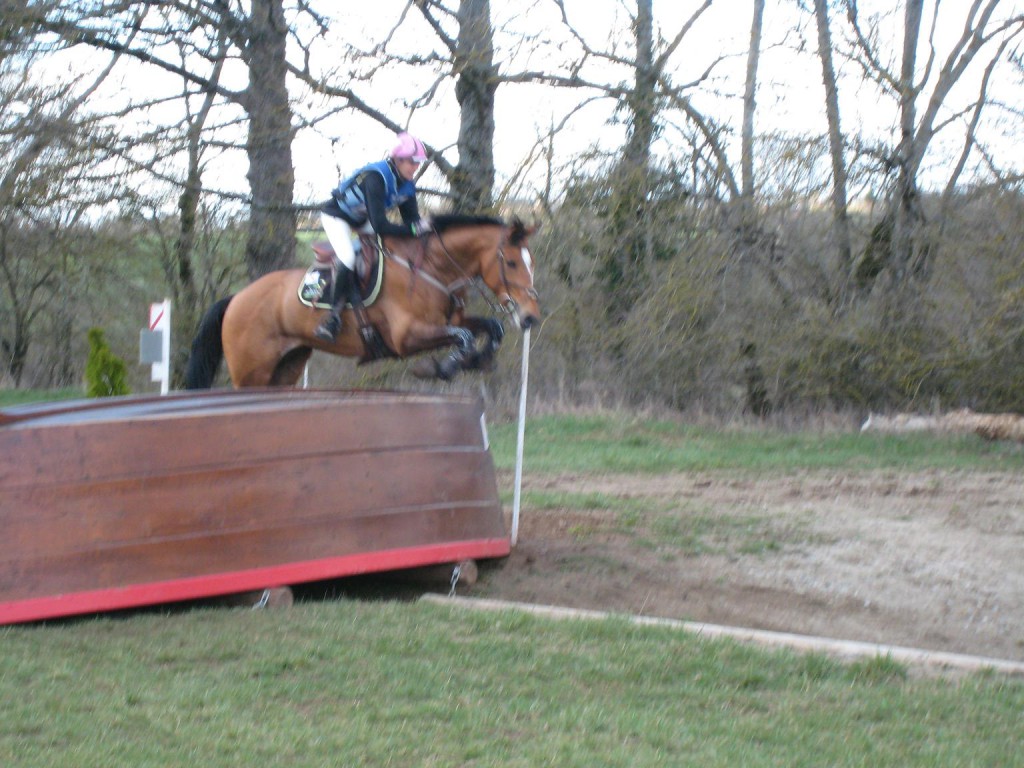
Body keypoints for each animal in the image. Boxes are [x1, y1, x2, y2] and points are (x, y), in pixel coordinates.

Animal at [185, 214, 540, 387]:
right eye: (511, 263)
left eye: (530, 261)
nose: (530, 317)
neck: (431, 269)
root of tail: (236, 298)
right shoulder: (406, 337)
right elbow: (464, 336)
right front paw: (442, 367)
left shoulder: (447, 322)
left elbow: (489, 327)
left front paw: (479, 360)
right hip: (251, 370)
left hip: (286, 366)